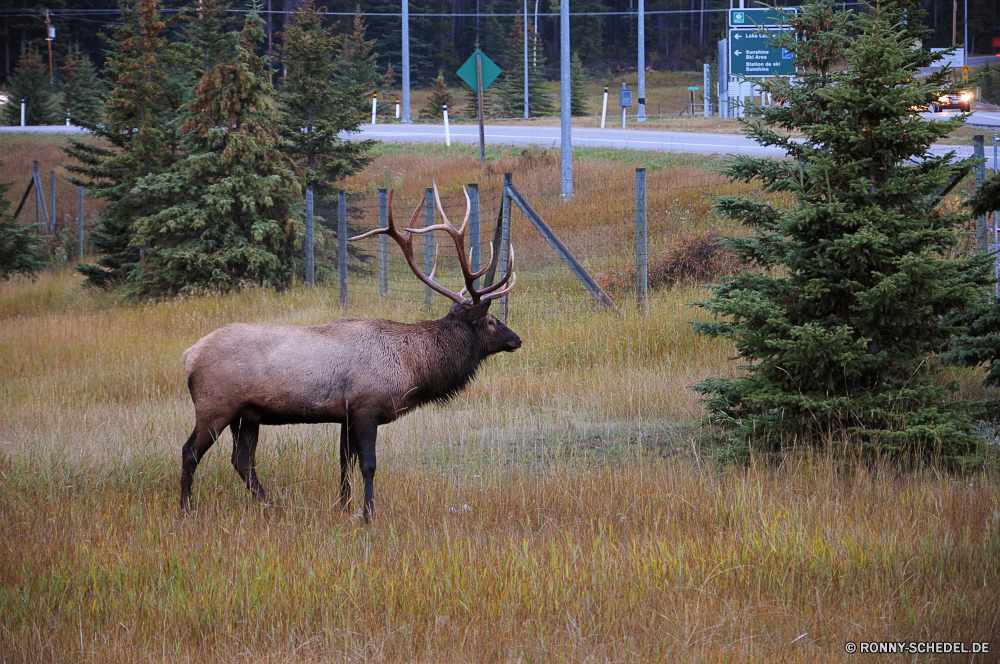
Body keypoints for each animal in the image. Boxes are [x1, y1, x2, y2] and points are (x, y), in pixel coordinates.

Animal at [180, 182, 520, 520]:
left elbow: (345, 463)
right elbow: (368, 465)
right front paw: (368, 513)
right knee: (190, 452)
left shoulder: (345, 414)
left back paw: (271, 506)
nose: (516, 339)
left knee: (242, 461)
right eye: (491, 321)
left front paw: (343, 506)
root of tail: (188, 356)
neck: (410, 369)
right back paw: (186, 508)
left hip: (247, 414)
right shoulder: (366, 406)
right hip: (215, 405)